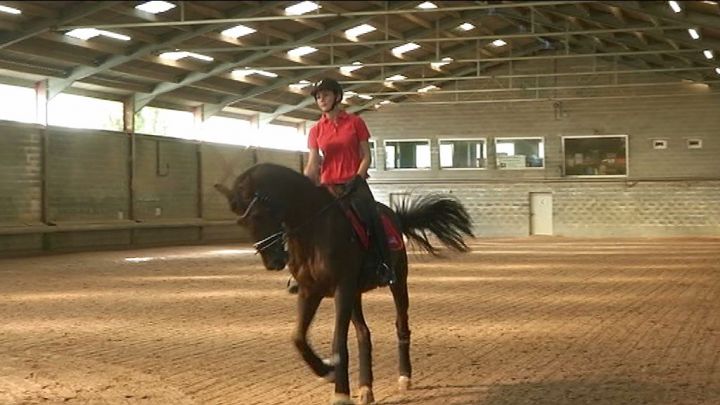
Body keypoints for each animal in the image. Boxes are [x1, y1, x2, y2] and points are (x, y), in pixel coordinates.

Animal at [214, 163, 472, 402]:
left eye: (258, 216)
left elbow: (338, 342)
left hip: (396, 281)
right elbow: (298, 337)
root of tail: (395, 217)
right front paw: (327, 371)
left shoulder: (342, 288)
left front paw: (340, 393)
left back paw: (404, 378)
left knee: (401, 324)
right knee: (363, 334)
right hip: (355, 293)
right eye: (241, 223)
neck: (313, 230)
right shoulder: (310, 290)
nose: (273, 261)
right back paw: (366, 388)